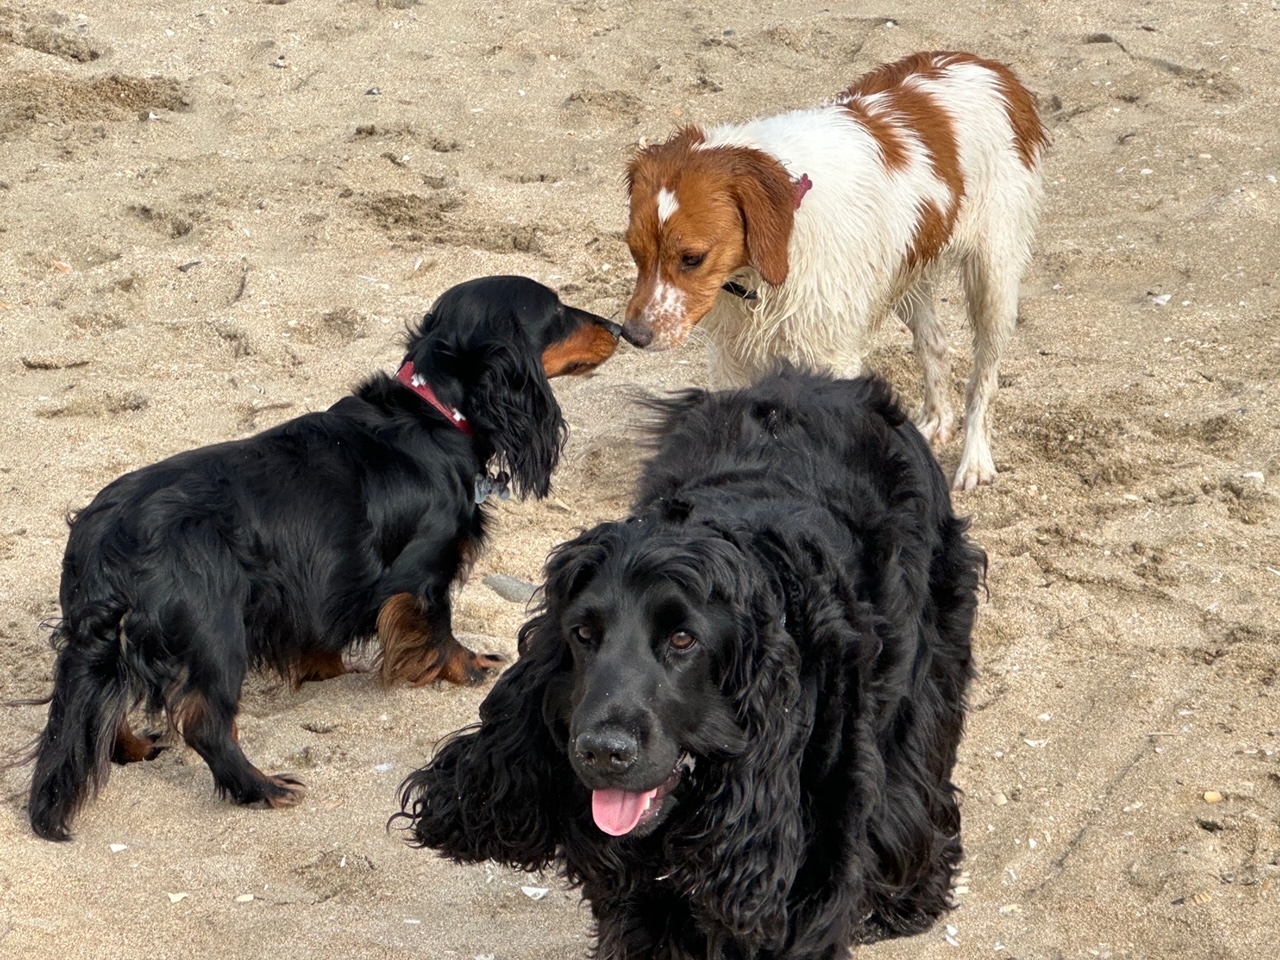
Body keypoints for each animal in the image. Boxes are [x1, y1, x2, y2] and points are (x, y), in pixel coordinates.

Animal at [622, 49, 1049, 491]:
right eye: (634, 252)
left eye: (692, 258)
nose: (632, 335)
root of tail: (991, 67)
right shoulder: (731, 357)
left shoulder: (831, 354)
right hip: (908, 272)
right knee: (934, 342)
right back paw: (935, 421)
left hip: (993, 277)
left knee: (984, 377)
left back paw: (975, 459)